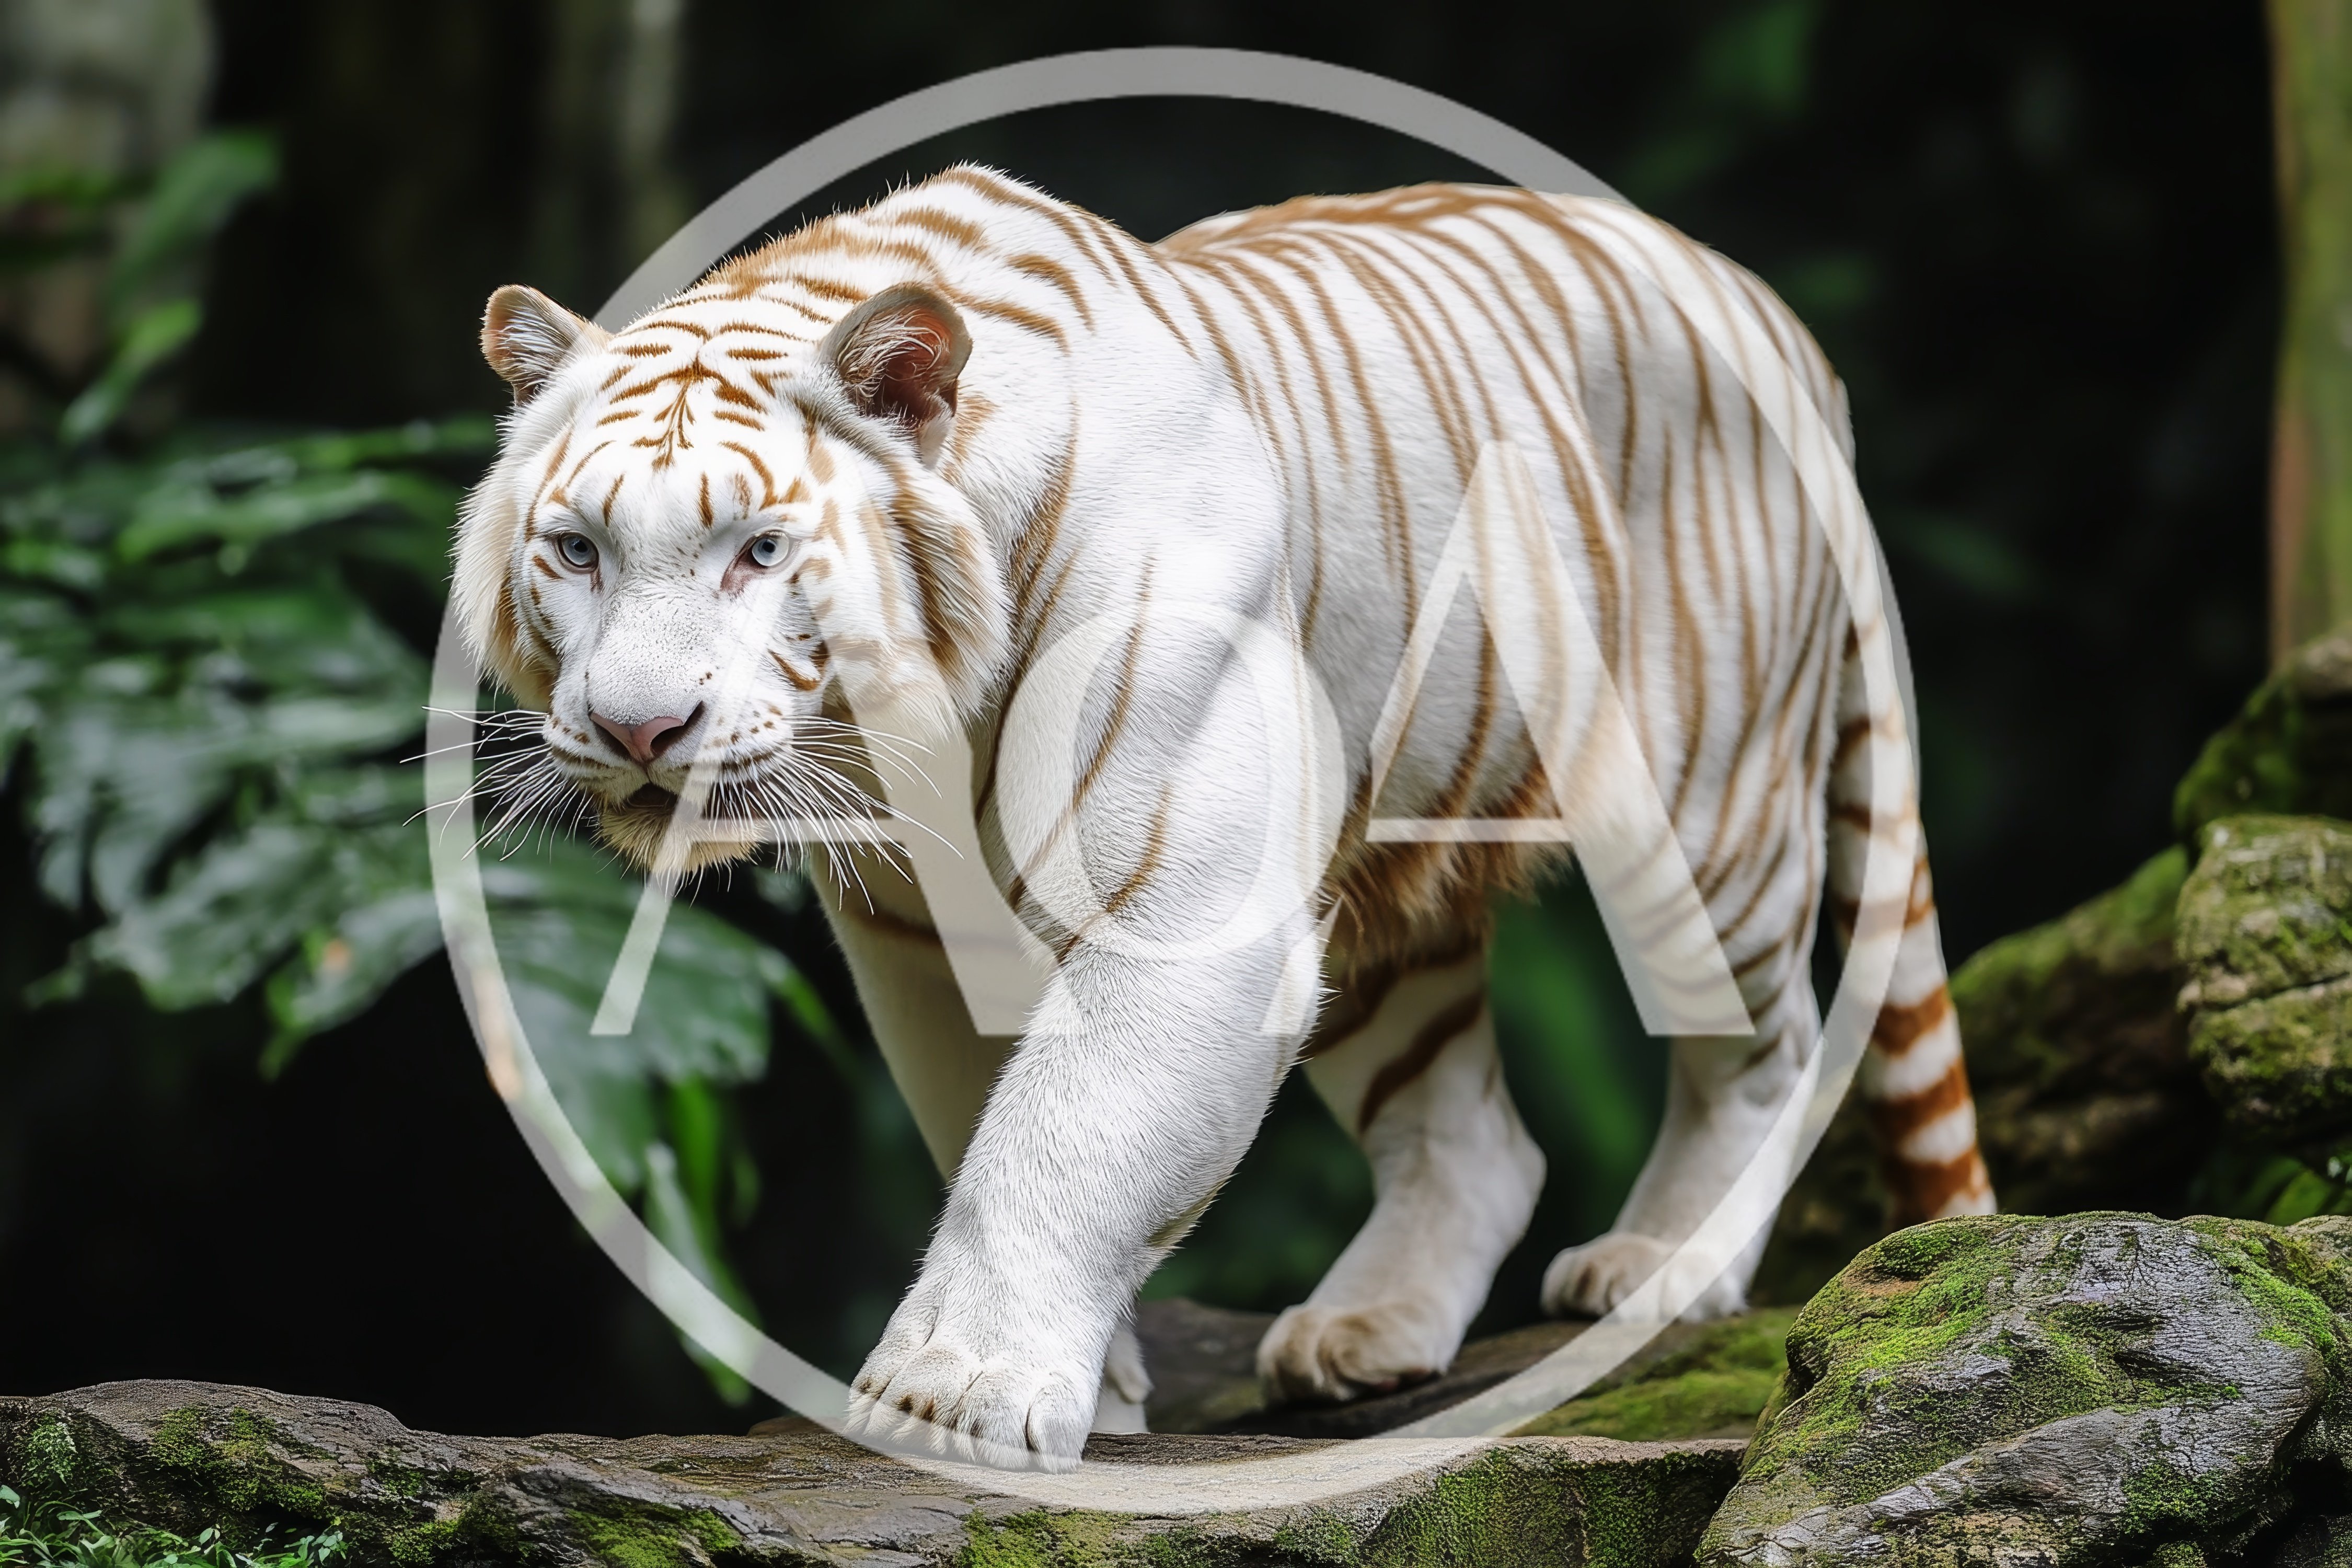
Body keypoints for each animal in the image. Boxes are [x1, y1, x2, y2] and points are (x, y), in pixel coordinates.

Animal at [455, 164, 1994, 1470]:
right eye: (577, 551)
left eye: (760, 551)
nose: (639, 729)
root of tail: (1772, 314)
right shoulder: (923, 940)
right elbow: (993, 1129)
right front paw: (1101, 1392)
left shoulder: (1187, 908)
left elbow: (1059, 1134)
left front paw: (955, 1394)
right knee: (1475, 1138)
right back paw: (1364, 1334)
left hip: (1702, 807)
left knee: (1763, 1048)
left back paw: (1657, 1270)